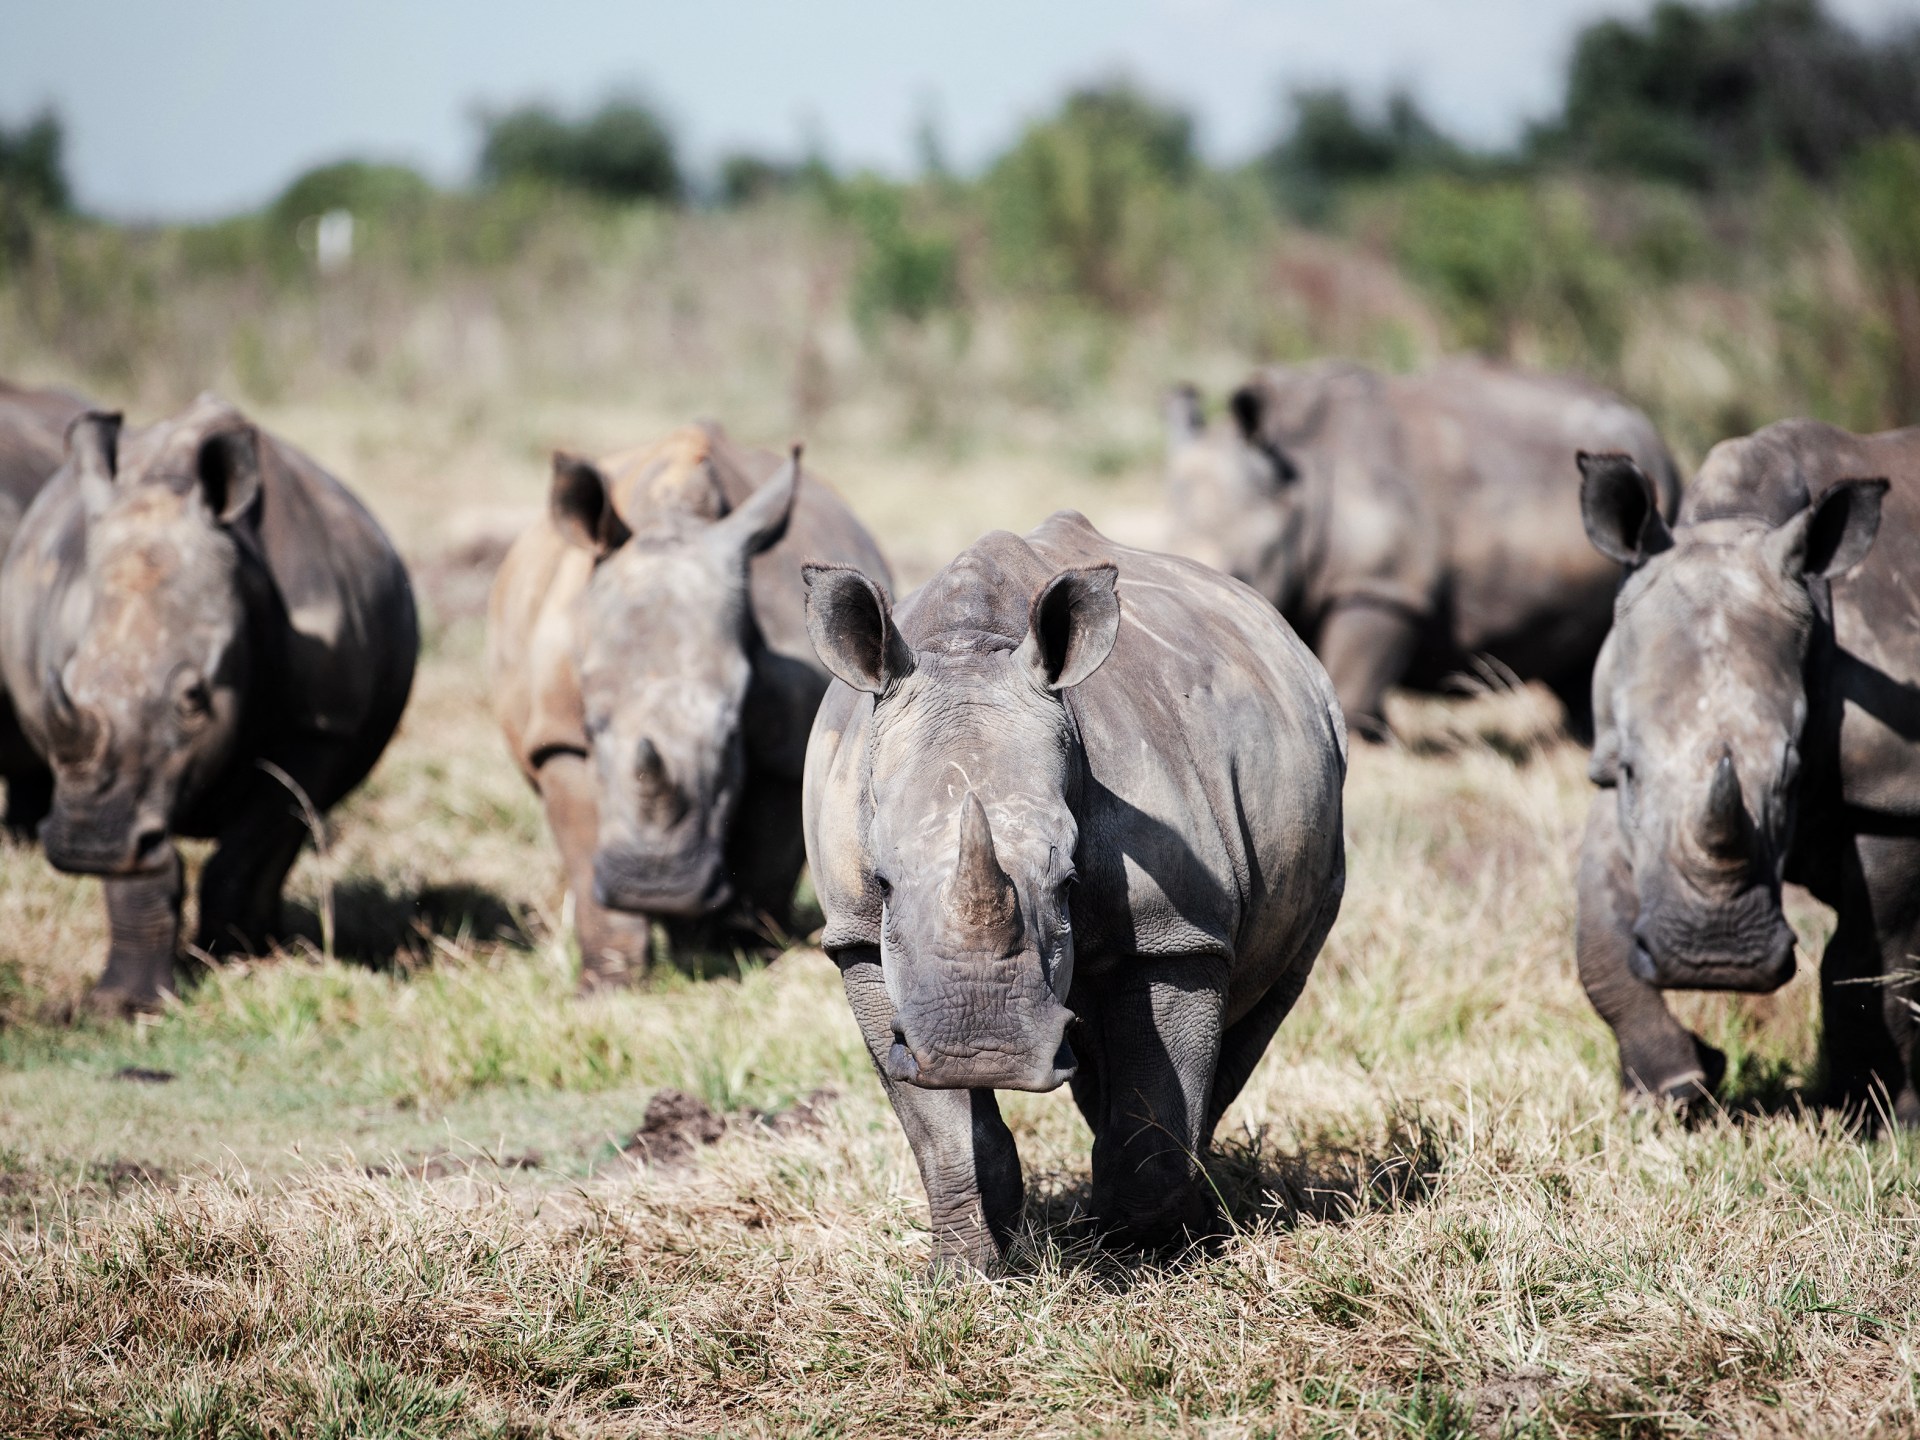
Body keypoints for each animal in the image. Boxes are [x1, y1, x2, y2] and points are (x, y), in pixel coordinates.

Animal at [0, 395, 418, 1014]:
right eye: (68, 680)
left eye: (193, 700)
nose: (85, 845)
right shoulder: (121, 785)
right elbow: (142, 866)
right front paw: (122, 1008)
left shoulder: (321, 728)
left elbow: (249, 847)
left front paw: (237, 967)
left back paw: (266, 945)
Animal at [487, 422, 891, 987]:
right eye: (591, 724)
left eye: (732, 731)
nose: (658, 884)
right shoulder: (557, 735)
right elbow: (585, 854)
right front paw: (607, 984)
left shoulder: (788, 745)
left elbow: (767, 858)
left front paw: (734, 956)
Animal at [802, 510, 1347, 1272]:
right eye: (882, 881)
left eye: (1067, 879)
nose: (985, 1050)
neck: (969, 644)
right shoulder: (856, 936)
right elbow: (943, 1129)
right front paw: (966, 1271)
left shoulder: (1174, 932)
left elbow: (1157, 1103)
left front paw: (1145, 1259)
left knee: (1265, 1001)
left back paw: (1191, 1218)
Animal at [1165, 359, 1680, 739]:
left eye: (1245, 571)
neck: (1299, 481)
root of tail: (1653, 432)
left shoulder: (1382, 586)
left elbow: (1351, 678)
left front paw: (1368, 741)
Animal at [1574, 420, 1920, 1123]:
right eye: (1632, 771)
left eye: (1791, 773)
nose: (1716, 960)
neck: (1734, 522)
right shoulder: (1610, 764)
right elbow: (1597, 926)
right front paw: (1674, 1089)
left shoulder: (1890, 791)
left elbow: (1872, 956)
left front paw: (1879, 1121)